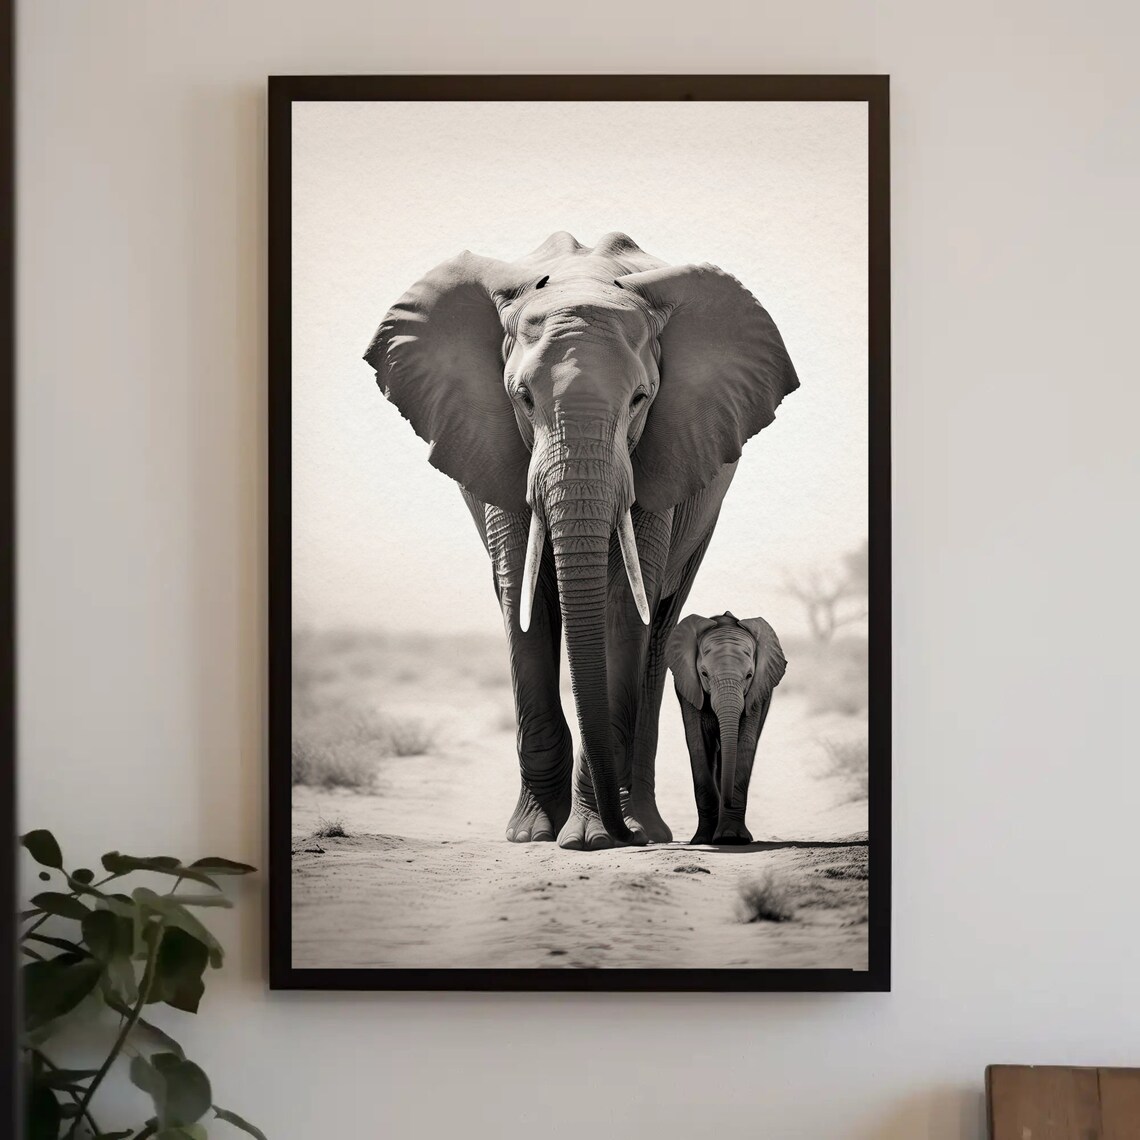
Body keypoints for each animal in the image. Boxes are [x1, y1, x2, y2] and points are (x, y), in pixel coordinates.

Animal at [665, 611, 788, 845]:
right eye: (704, 674)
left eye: (749, 676)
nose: (728, 801)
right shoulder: (689, 690)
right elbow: (698, 745)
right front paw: (702, 840)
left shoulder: (756, 695)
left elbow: (744, 744)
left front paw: (731, 838)